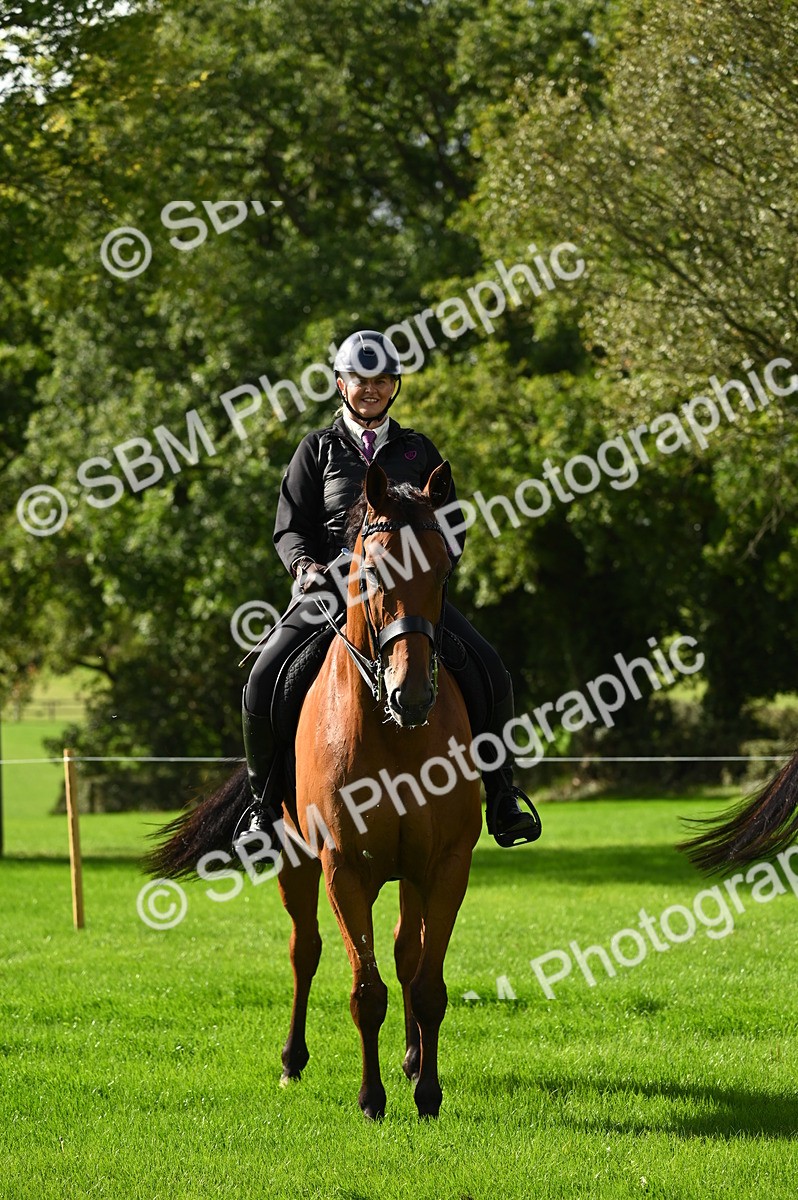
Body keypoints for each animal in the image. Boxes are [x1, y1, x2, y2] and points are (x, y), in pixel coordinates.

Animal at [148, 461, 482, 1119]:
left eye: (443, 570)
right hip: (295, 860)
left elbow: (427, 984)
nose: (412, 696)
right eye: (373, 572)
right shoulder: (342, 867)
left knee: (406, 956)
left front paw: (427, 1093)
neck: (394, 734)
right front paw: (371, 1099)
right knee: (305, 952)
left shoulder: (445, 865)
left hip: (409, 873)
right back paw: (292, 1061)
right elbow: (365, 990)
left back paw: (412, 1060)